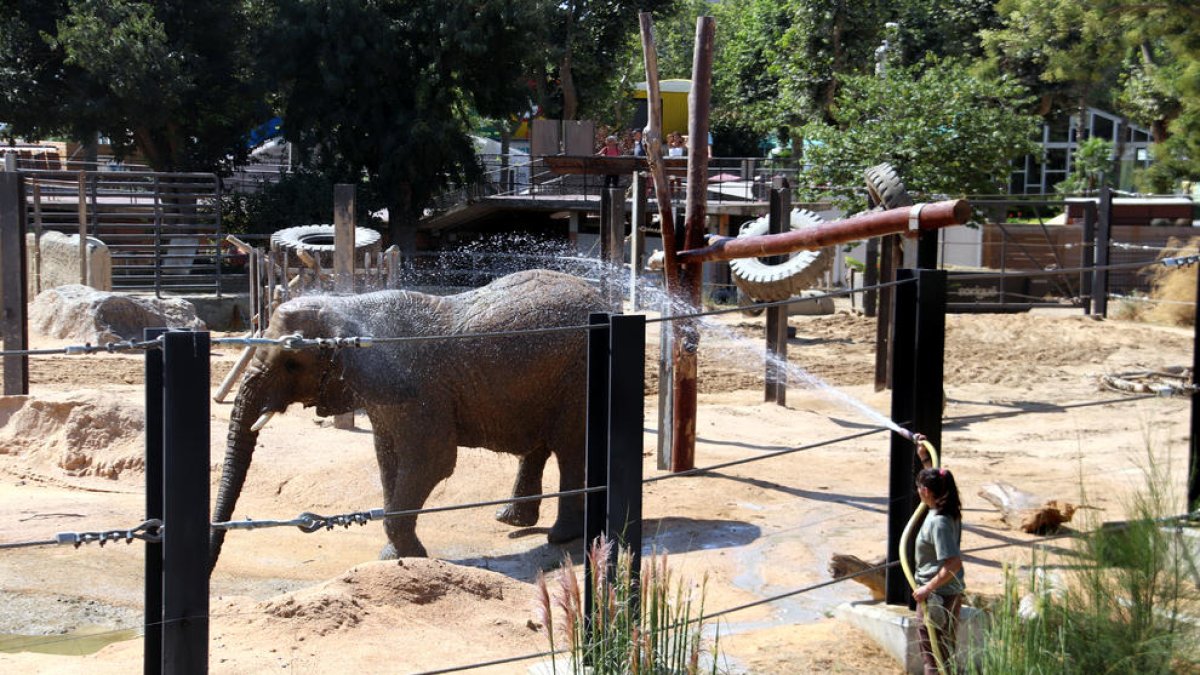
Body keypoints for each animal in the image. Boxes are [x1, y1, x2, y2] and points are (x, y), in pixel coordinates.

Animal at [207, 267, 614, 566]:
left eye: (292, 363)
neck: (347, 309)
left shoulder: (415, 386)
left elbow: (430, 460)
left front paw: (405, 557)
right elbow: (388, 460)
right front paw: (398, 557)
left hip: (580, 374)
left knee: (570, 447)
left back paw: (561, 536)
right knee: (542, 445)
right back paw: (510, 520)